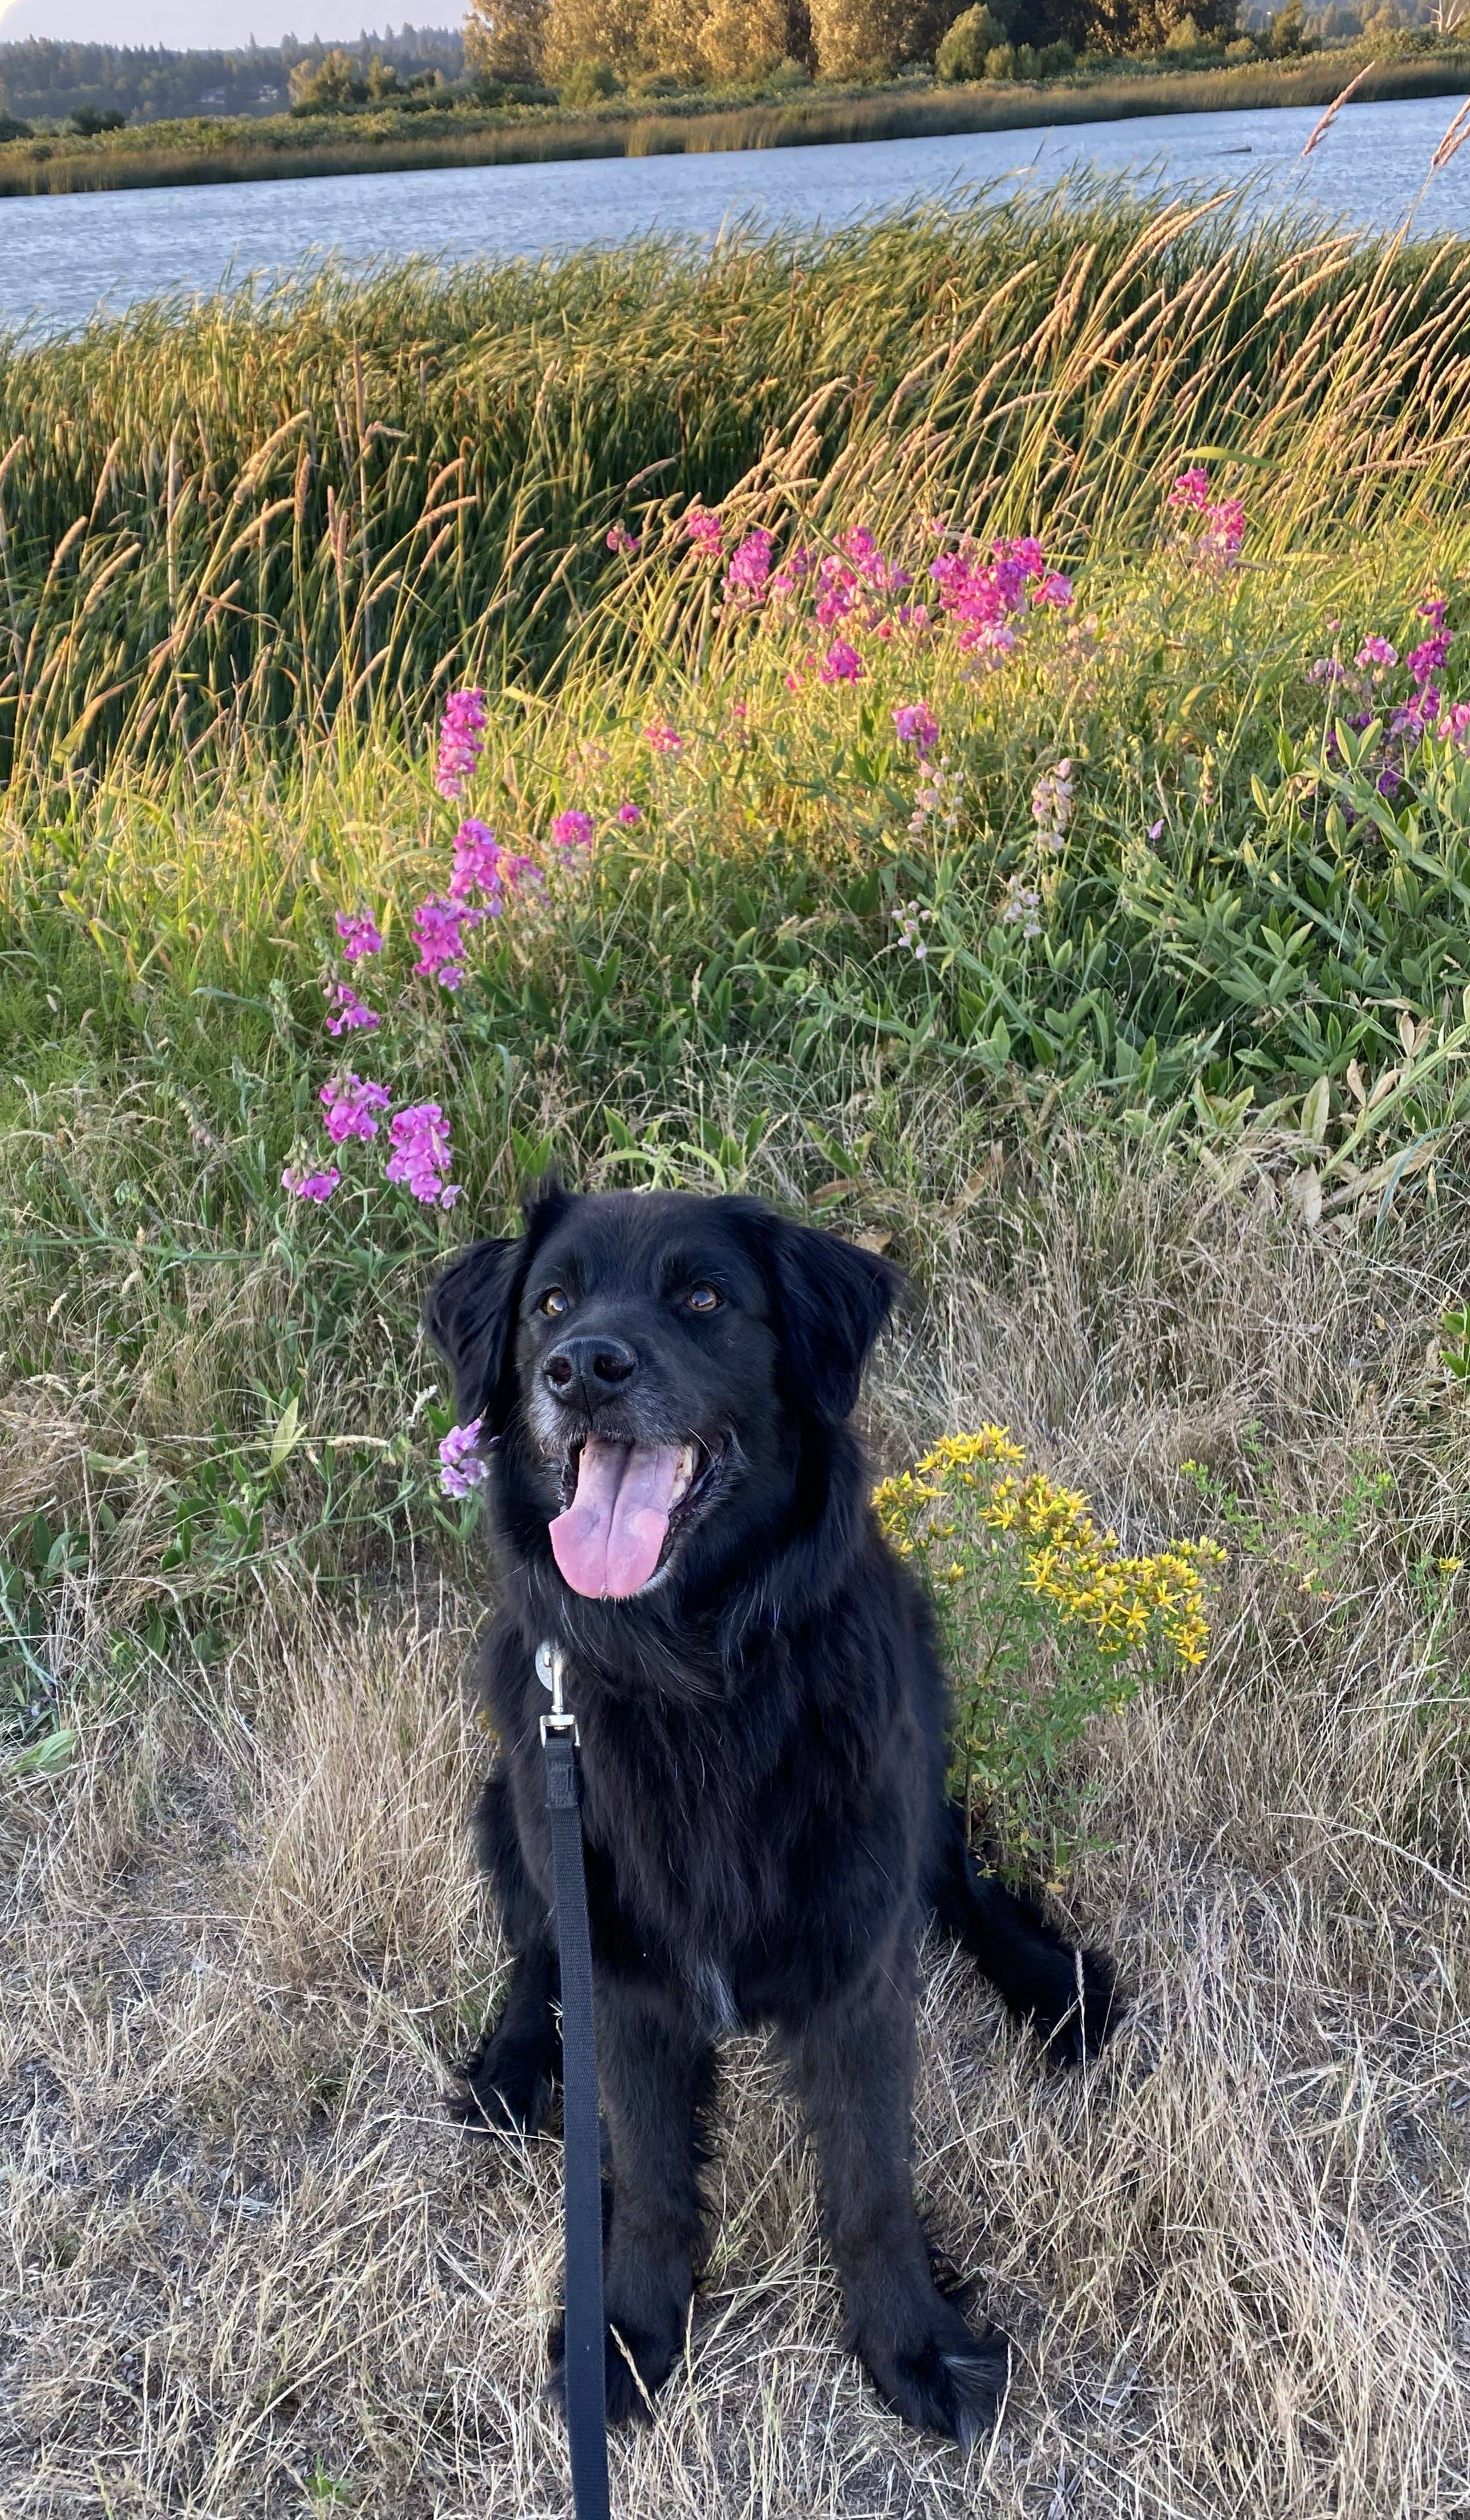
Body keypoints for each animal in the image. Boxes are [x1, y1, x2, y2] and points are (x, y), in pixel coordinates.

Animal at [428, 1179, 1114, 2439]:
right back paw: (513, 2064)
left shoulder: (855, 1963)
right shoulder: (627, 1973)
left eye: (703, 1297)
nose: (579, 1367)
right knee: (536, 1946)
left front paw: (911, 2344)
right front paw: (626, 2331)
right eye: (547, 1302)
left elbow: (869, 2180)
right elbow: (651, 2172)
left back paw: (1051, 1986)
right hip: (510, 1797)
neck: (693, 1674)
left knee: (957, 1876)